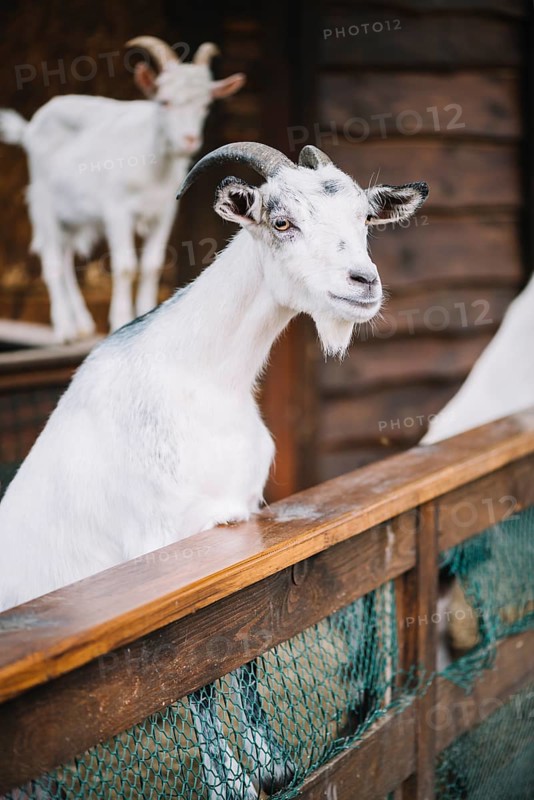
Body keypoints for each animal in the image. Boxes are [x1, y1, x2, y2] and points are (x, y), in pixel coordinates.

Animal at [0, 36, 245, 342]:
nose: (189, 140)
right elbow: (126, 266)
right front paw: (120, 320)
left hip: (71, 218)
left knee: (66, 259)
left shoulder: (164, 212)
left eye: (205, 106)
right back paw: (65, 328)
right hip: (43, 203)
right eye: (164, 101)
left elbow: (152, 264)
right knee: (52, 259)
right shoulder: (117, 210)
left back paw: (81, 325)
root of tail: (30, 128)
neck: (154, 164)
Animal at [0, 142, 428, 797]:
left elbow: (241, 642)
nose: (363, 283)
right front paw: (232, 782)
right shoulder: (161, 547)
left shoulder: (239, 522)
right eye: (282, 222)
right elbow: (194, 667)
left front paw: (272, 764)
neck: (202, 377)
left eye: (363, 220)